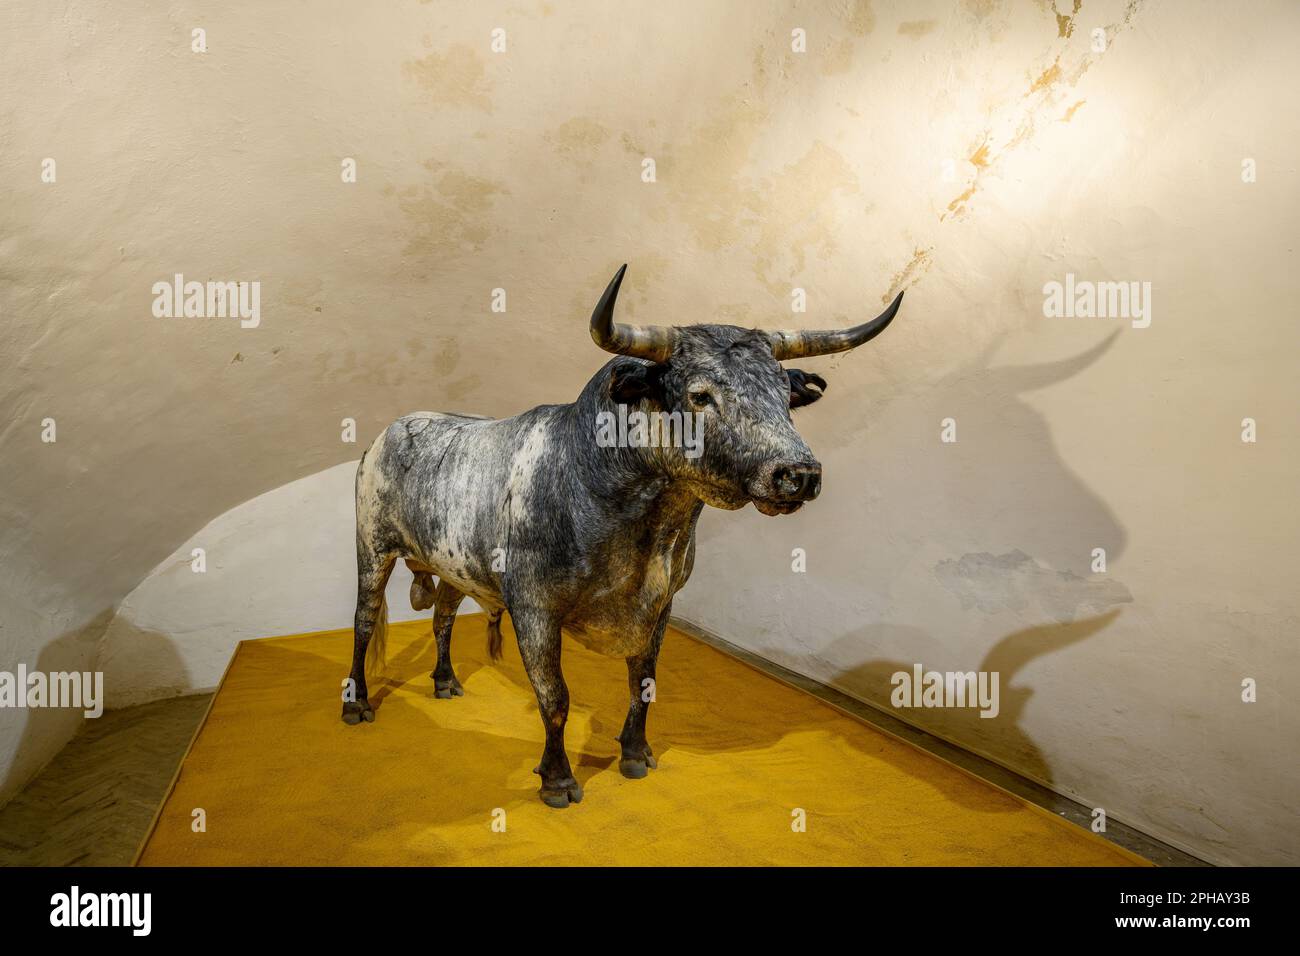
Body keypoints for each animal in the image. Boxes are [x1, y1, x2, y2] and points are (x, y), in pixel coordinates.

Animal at [343, 265, 904, 811]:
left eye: (785, 397)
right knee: (365, 622)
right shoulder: (534, 607)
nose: (799, 474)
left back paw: (445, 681)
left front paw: (635, 754)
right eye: (700, 395)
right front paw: (557, 779)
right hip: (372, 550)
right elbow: (555, 696)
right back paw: (357, 704)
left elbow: (644, 683)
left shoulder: (662, 605)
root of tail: (391, 430)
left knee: (441, 617)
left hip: (452, 566)